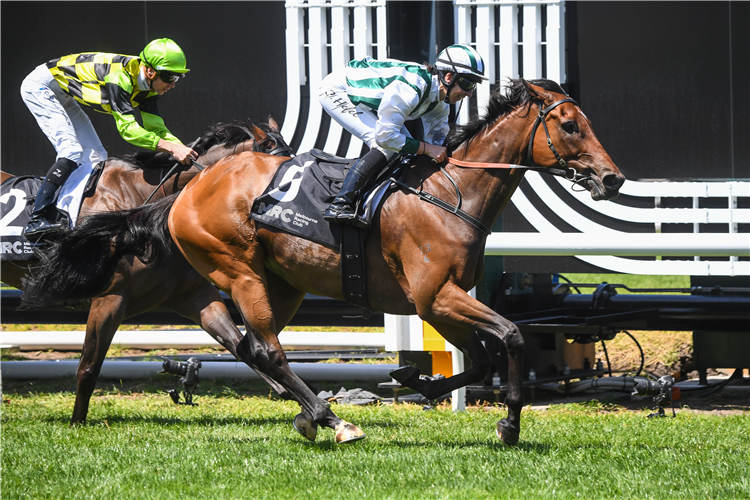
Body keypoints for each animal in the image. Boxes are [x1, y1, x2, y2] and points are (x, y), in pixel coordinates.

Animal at [5, 118, 294, 426]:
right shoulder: (108, 299)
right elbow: (88, 368)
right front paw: (76, 424)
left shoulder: (193, 296)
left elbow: (239, 342)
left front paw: (291, 395)